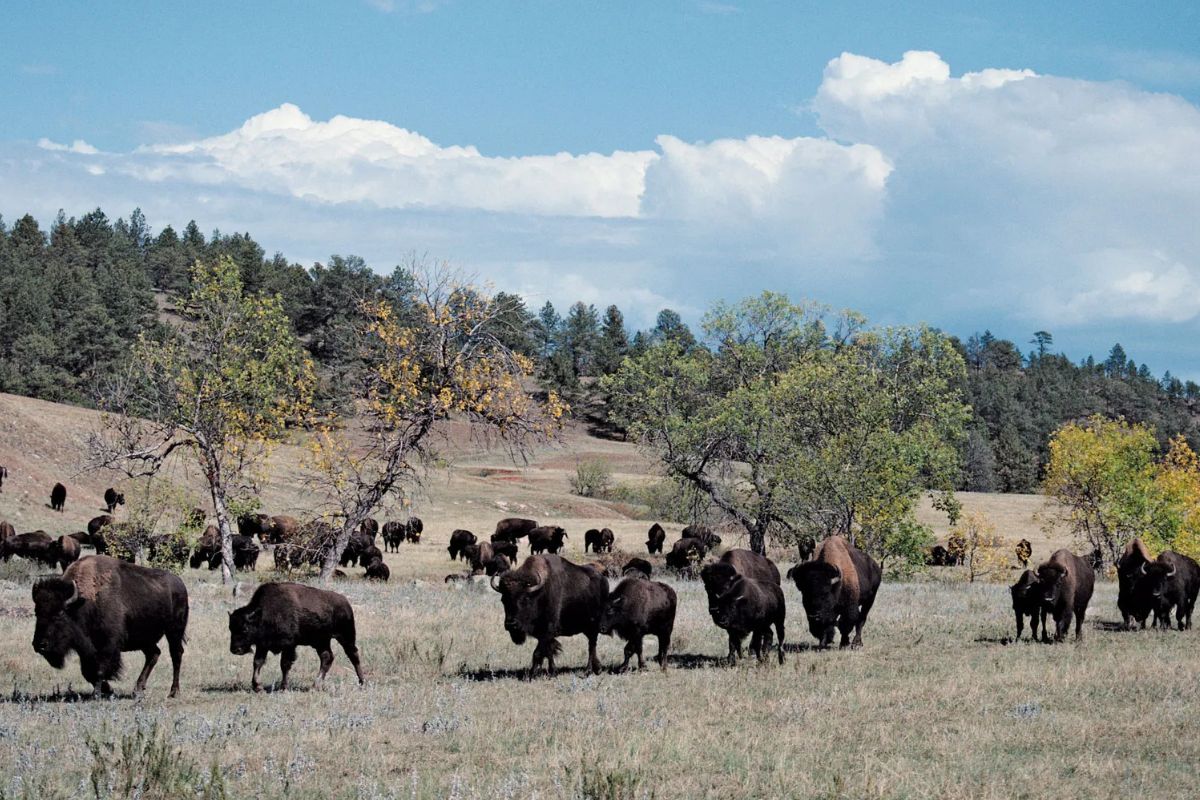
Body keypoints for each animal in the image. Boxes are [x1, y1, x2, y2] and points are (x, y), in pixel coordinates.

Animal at [32, 555, 188, 697]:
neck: (82, 603)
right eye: (37, 612)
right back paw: (138, 690)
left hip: (174, 631)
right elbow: (87, 672)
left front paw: (98, 694)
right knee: (154, 654)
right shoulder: (86, 649)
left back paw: (173, 692)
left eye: (60, 613)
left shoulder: (107, 646)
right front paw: (107, 690)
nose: (39, 645)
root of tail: (180, 584)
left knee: (176, 655)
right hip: (145, 639)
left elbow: (99, 669)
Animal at [228, 582, 365, 692]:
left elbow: (284, 664)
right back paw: (315, 686)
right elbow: (257, 662)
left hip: (346, 636)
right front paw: (257, 687)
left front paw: (283, 688)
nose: (235, 650)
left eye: (245, 629)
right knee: (327, 657)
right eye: (230, 628)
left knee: (353, 655)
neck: (263, 614)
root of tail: (345, 602)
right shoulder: (262, 645)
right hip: (321, 641)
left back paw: (362, 682)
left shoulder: (289, 645)